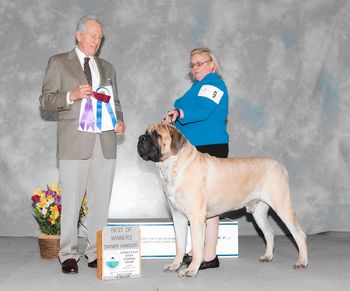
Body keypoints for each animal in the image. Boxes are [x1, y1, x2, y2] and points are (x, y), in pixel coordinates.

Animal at [137, 122, 306, 278]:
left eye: (156, 135)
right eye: (146, 132)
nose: (141, 138)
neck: (174, 166)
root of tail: (280, 166)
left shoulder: (196, 218)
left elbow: (197, 247)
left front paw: (191, 270)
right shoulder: (178, 217)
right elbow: (180, 244)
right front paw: (174, 265)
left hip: (282, 206)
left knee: (299, 234)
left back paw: (302, 262)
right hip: (259, 213)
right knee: (269, 232)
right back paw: (268, 256)